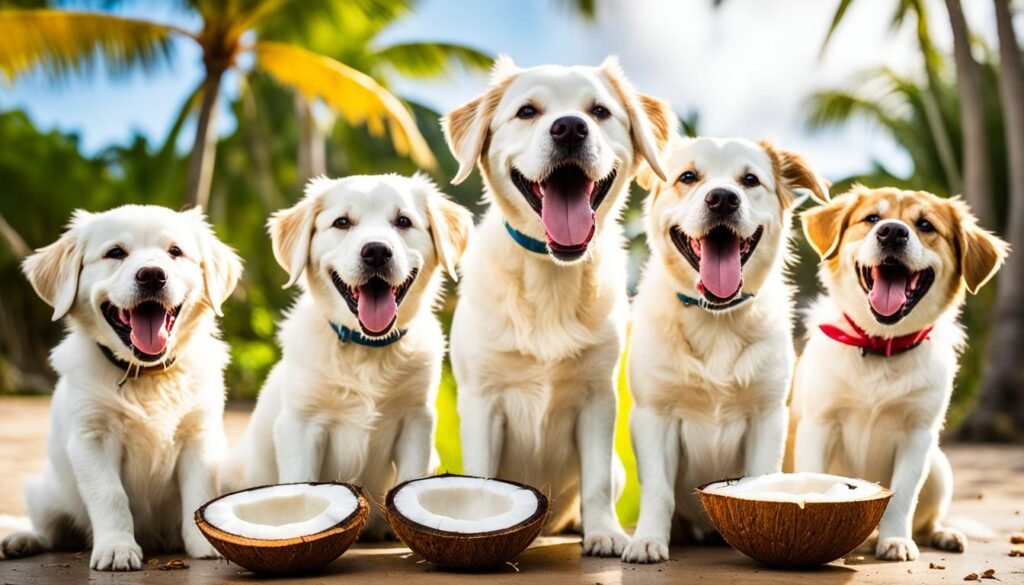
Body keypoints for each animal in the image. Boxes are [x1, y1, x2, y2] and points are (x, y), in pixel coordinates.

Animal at [1, 206, 241, 573]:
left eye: (175, 251)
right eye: (115, 252)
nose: (152, 275)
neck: (147, 375)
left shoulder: (200, 436)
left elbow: (200, 491)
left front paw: (206, 543)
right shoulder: (92, 438)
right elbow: (110, 495)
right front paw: (117, 548)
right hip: (45, 492)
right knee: (47, 529)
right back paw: (20, 539)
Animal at [224, 173, 471, 540]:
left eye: (403, 221)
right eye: (342, 222)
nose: (377, 251)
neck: (367, 350)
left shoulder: (416, 419)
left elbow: (410, 479)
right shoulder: (301, 424)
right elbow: (300, 488)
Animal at [444, 56, 675, 557]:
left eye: (599, 111)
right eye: (527, 111)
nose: (570, 128)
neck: (551, 273)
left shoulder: (598, 397)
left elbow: (595, 483)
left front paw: (604, 533)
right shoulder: (481, 400)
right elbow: (482, 481)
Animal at [618, 137, 827, 561]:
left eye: (749, 180)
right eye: (687, 177)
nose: (722, 199)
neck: (717, 318)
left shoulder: (767, 416)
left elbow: (760, 481)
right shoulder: (654, 415)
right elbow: (658, 491)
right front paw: (649, 539)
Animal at [790, 187, 1007, 561]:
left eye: (926, 225)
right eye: (872, 218)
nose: (892, 232)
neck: (880, 346)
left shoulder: (918, 435)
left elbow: (903, 496)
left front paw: (895, 540)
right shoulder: (819, 424)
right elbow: (815, 479)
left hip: (940, 467)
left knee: (928, 522)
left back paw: (942, 535)